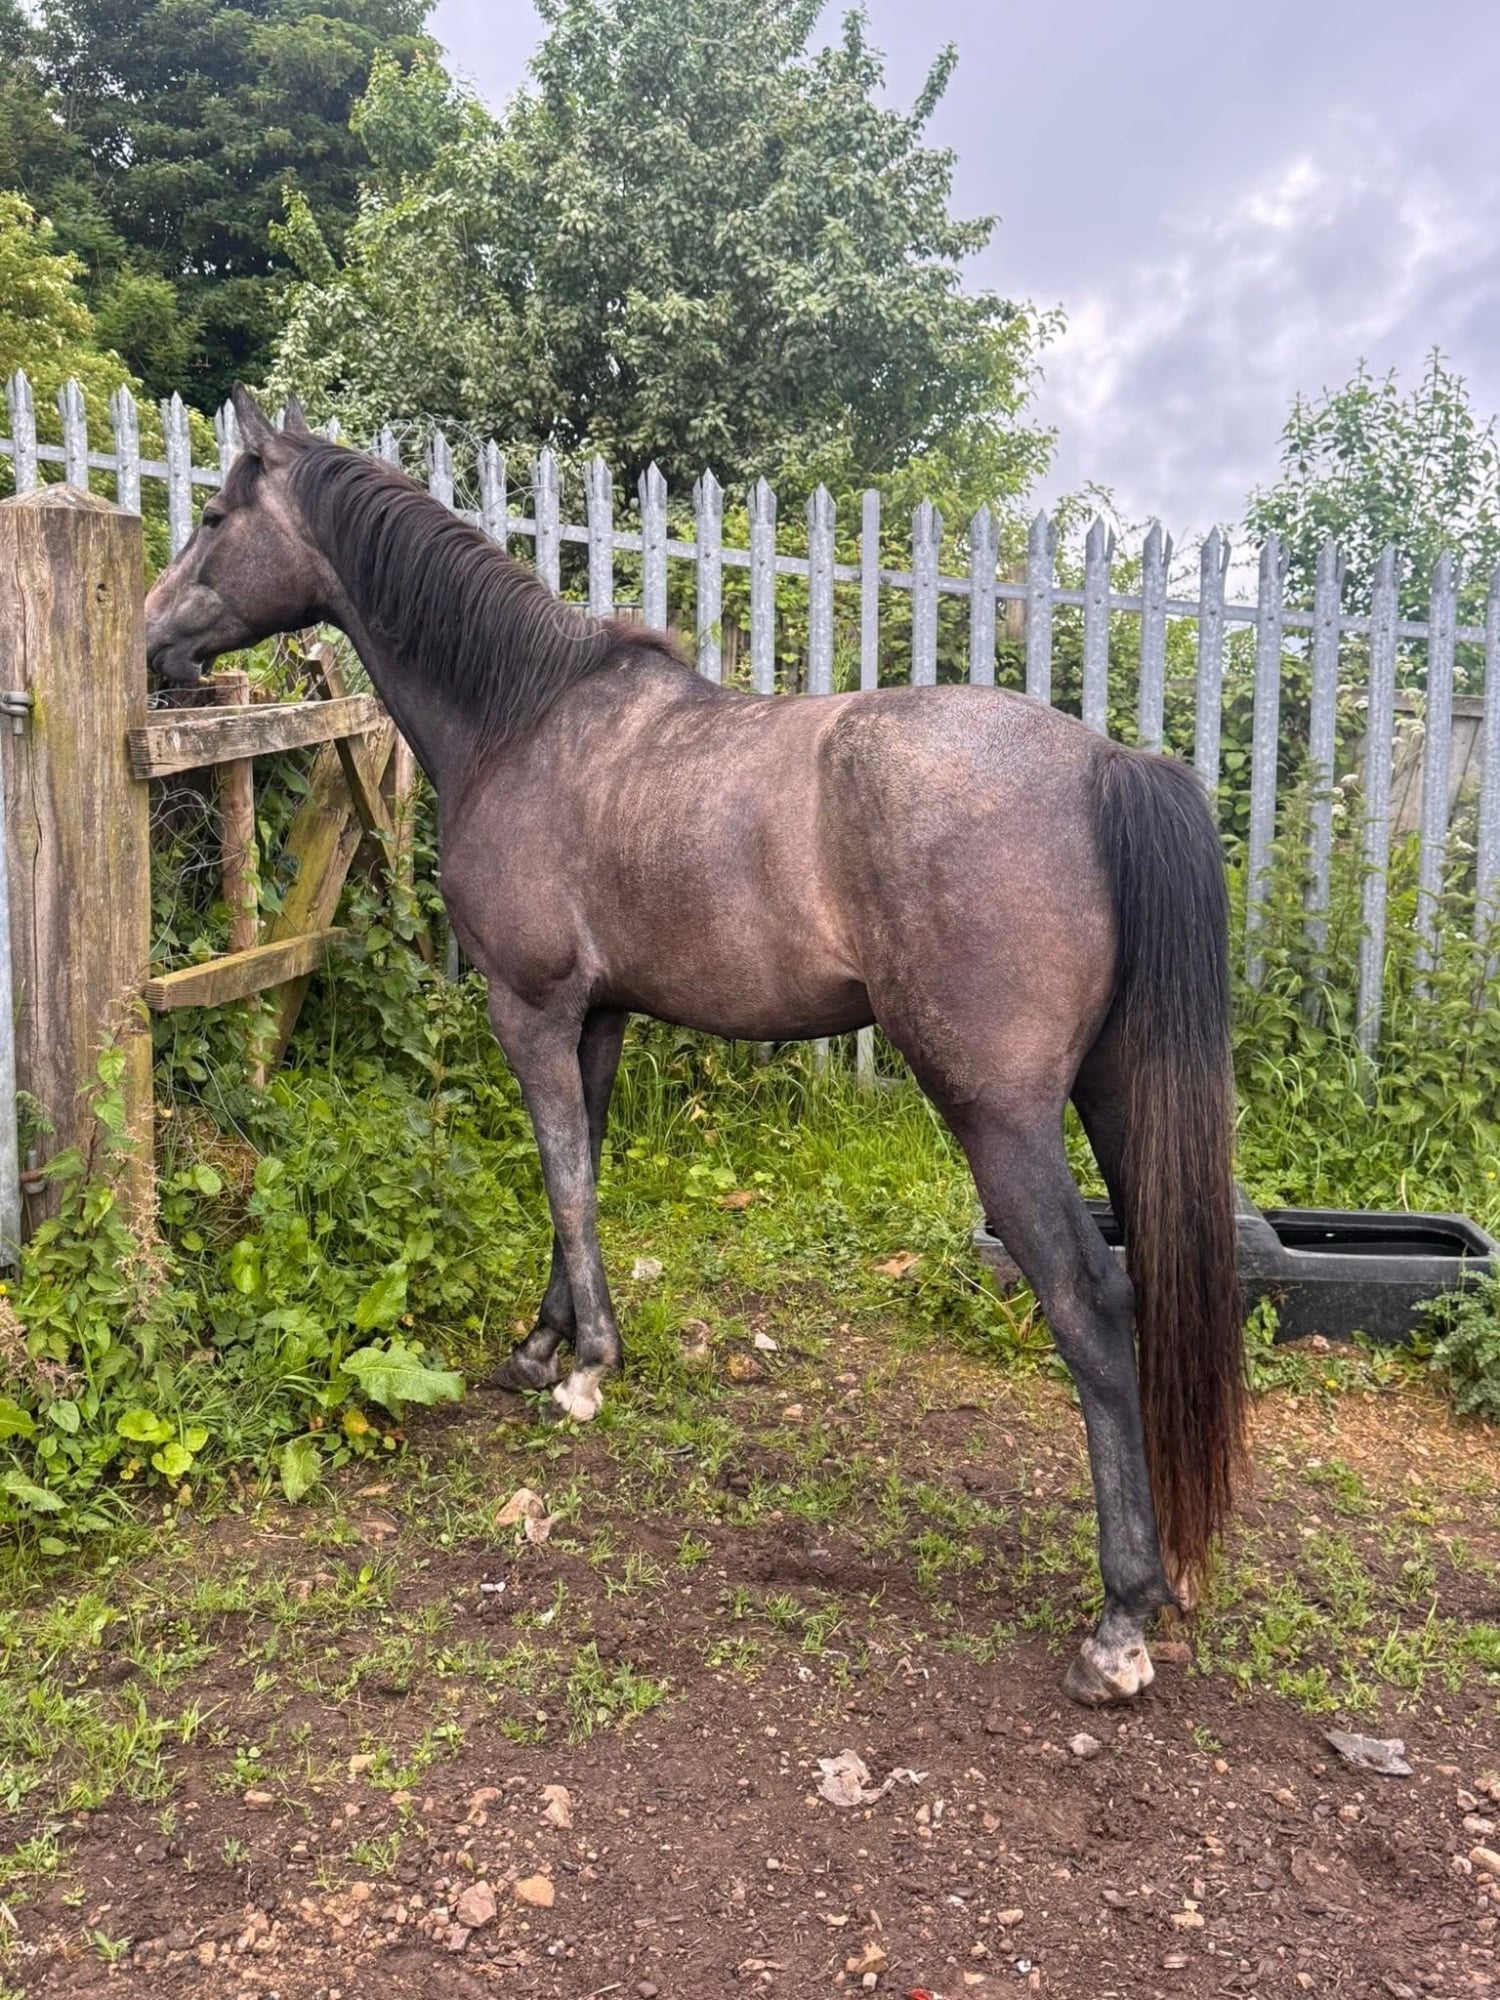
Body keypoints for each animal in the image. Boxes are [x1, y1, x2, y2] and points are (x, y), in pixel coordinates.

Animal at [144, 389, 1244, 1706]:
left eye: (216, 515)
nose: (153, 645)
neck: (522, 716)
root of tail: (1104, 764)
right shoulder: (600, 1017)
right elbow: (579, 1174)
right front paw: (541, 1345)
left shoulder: (530, 1008)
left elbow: (563, 1174)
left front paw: (584, 1366)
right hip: (1120, 1100)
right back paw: (1173, 1570)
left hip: (1002, 1116)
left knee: (1094, 1302)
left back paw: (1119, 1618)